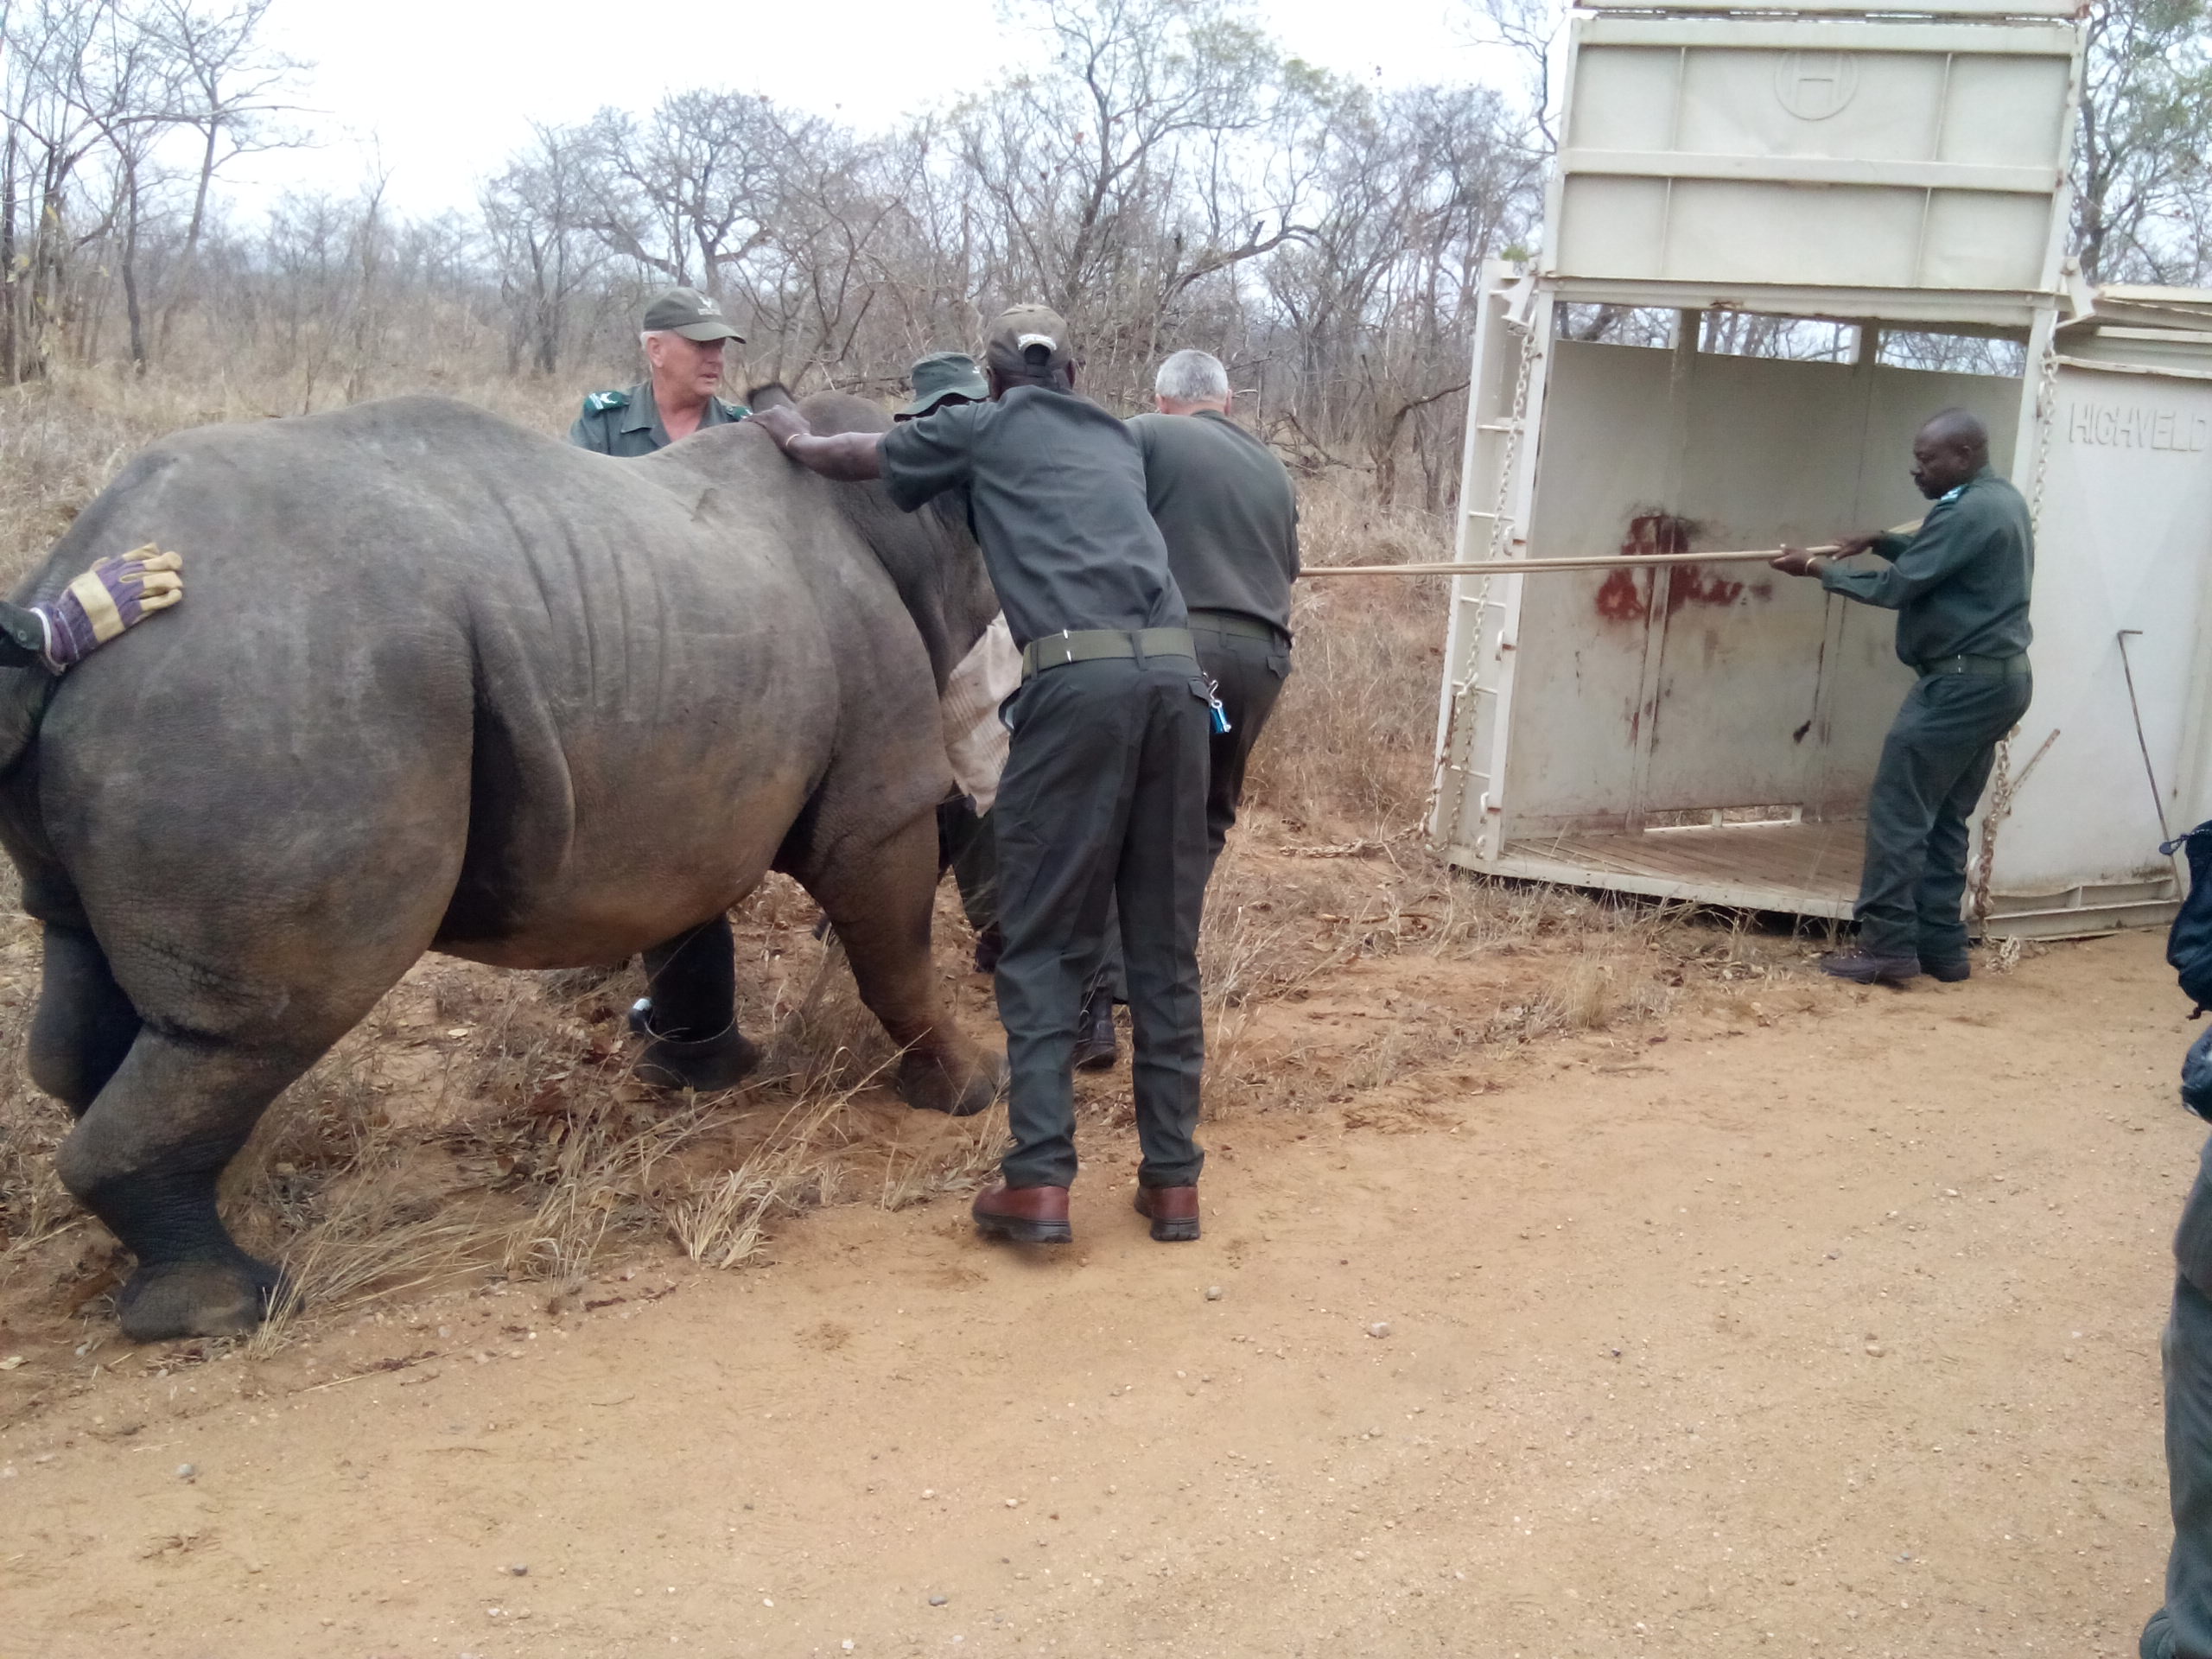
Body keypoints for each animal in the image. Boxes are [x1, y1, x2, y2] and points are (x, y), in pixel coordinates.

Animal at [0, 391, 1004, 1342]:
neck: (918, 523)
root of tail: (68, 567)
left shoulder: (692, 785)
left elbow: (684, 921)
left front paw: (710, 1074)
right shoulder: (874, 805)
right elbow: (896, 951)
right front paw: (970, 1094)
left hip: (192, 694)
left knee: (89, 973)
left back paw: (214, 1213)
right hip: (263, 691)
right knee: (267, 1020)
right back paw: (239, 1304)